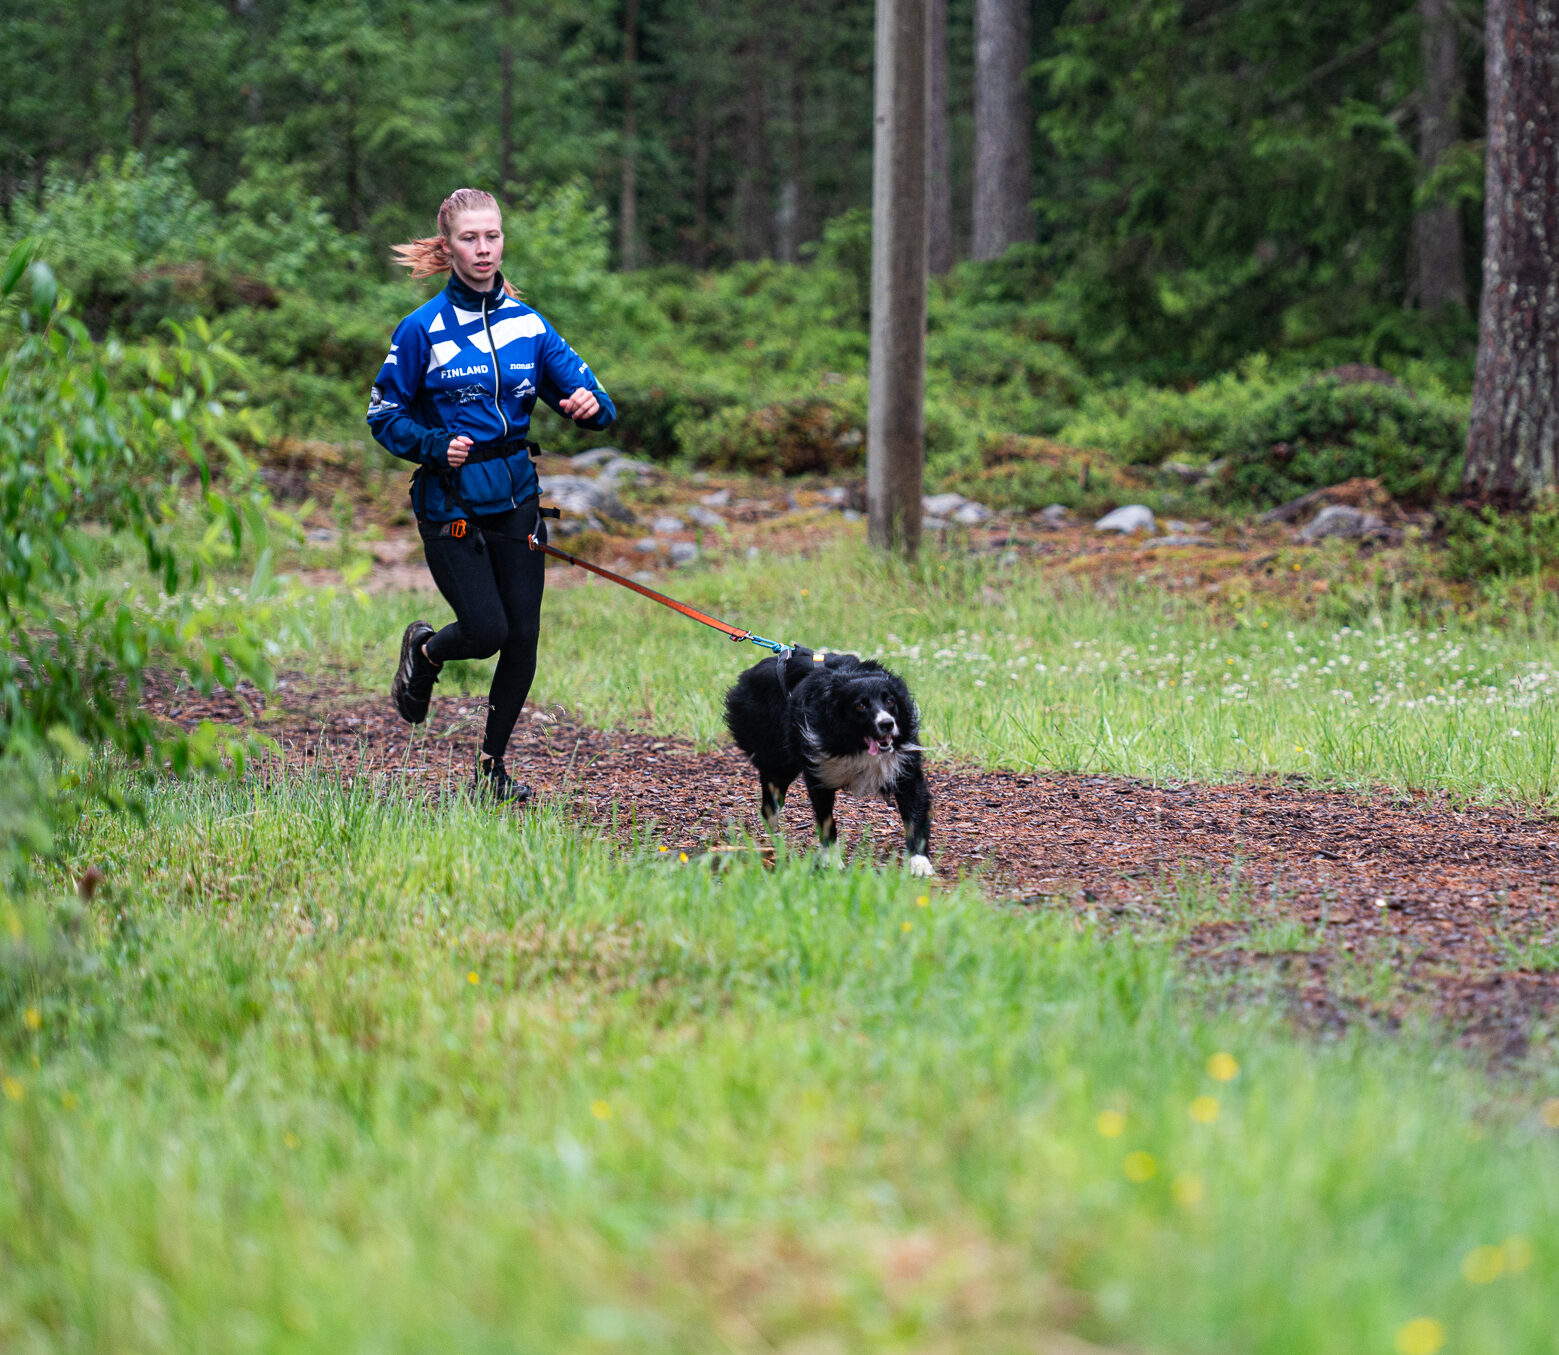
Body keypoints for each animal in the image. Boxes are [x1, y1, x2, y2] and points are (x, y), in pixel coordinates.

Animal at [723, 648, 929, 879]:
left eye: (890, 701)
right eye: (860, 705)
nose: (887, 724)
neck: (854, 745)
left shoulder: (904, 767)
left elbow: (914, 812)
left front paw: (919, 862)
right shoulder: (820, 770)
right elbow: (826, 818)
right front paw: (831, 860)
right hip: (777, 758)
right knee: (770, 800)